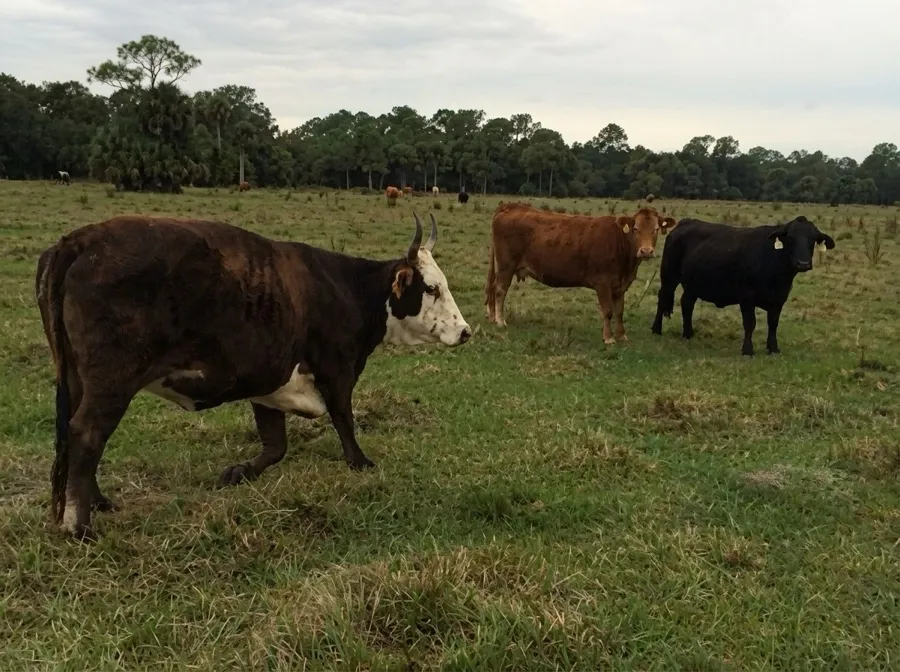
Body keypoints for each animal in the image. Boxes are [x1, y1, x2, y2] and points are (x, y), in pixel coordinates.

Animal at [35, 211, 471, 540]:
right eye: (431, 289)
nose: (465, 331)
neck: (348, 289)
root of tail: (83, 240)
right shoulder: (337, 372)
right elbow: (344, 421)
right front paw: (359, 462)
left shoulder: (270, 382)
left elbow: (275, 445)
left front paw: (240, 472)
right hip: (112, 383)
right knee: (87, 434)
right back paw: (80, 525)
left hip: (77, 381)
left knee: (73, 435)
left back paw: (98, 501)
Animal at [485, 202, 676, 343]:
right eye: (636, 229)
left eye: (656, 230)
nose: (646, 251)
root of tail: (511, 207)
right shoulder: (602, 283)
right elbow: (608, 311)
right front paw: (609, 338)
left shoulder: (619, 286)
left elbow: (619, 311)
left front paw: (622, 335)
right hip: (506, 266)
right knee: (500, 290)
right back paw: (500, 321)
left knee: (493, 288)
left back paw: (493, 317)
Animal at [650, 216, 835, 356]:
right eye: (791, 238)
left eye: (813, 240)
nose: (803, 264)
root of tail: (685, 222)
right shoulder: (746, 297)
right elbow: (750, 323)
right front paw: (748, 350)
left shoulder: (779, 299)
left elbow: (773, 324)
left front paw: (773, 348)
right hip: (669, 276)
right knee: (663, 298)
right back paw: (656, 329)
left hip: (692, 284)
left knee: (687, 303)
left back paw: (688, 334)